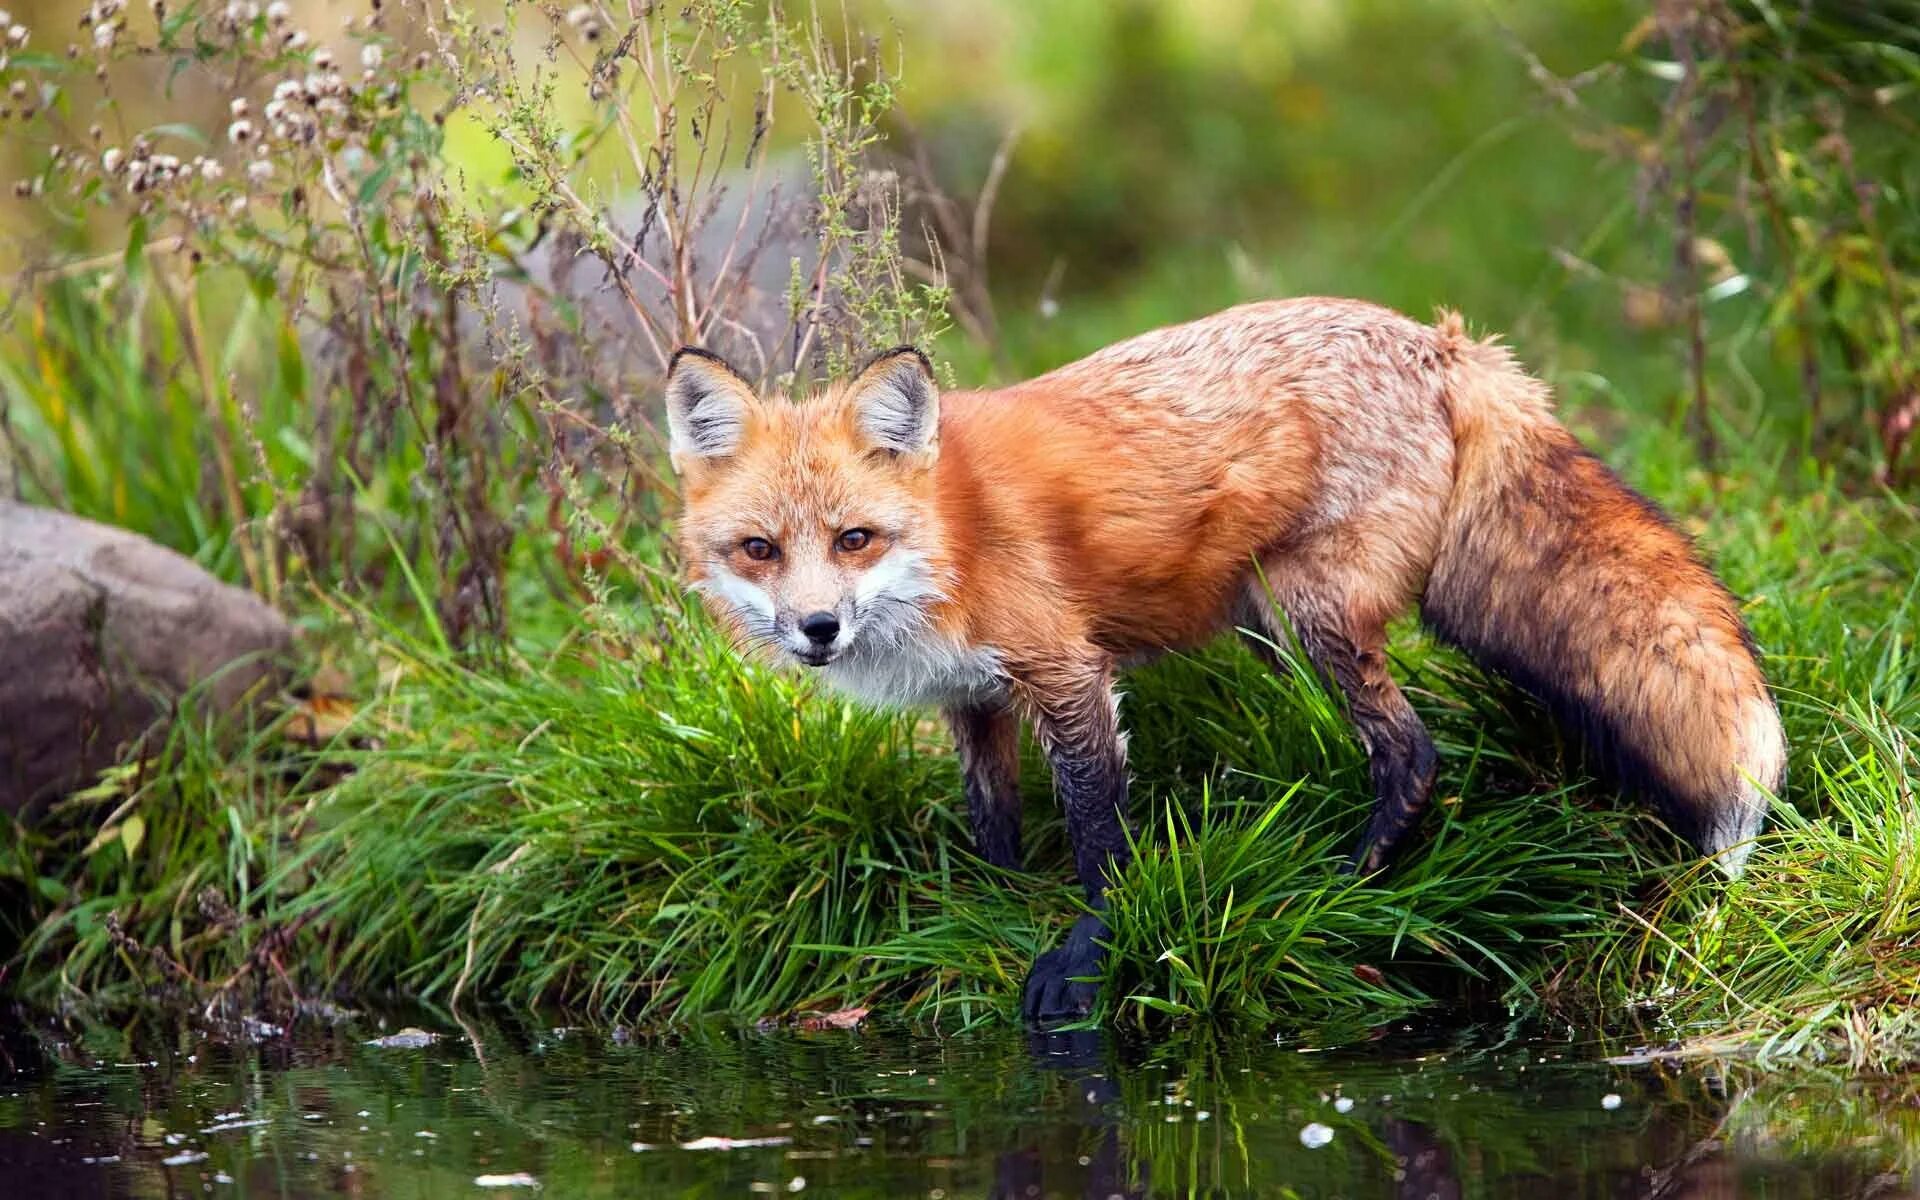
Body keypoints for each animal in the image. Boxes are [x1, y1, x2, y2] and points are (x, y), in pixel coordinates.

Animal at [668, 297, 1789, 1021]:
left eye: (854, 538)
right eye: (760, 550)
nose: (817, 629)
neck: (952, 535)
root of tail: (1440, 340)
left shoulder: (1066, 671)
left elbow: (1099, 839)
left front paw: (1086, 960)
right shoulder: (972, 701)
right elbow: (994, 828)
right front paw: (989, 921)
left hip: (1307, 616)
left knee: (1413, 751)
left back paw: (1345, 881)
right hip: (1277, 621)